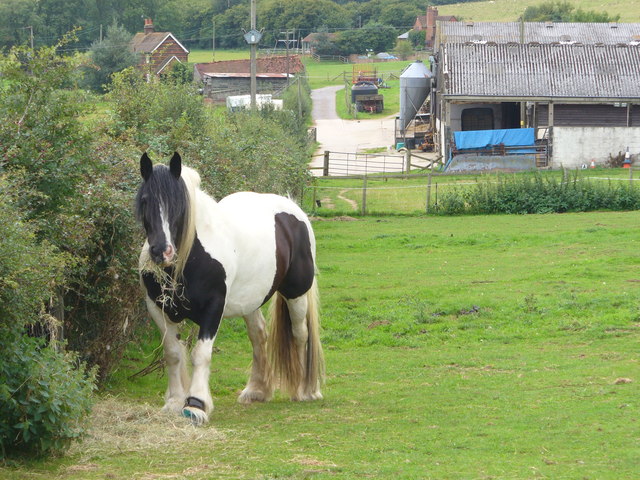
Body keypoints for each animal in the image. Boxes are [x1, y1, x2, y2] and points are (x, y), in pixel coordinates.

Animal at [136, 153, 324, 424]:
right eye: (144, 200)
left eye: (179, 204)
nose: (162, 251)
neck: (193, 254)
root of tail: (293, 210)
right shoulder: (157, 308)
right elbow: (172, 353)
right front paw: (174, 402)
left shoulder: (213, 308)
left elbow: (201, 354)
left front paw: (196, 405)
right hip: (251, 300)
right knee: (259, 335)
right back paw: (256, 390)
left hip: (296, 293)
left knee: (300, 334)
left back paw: (303, 390)